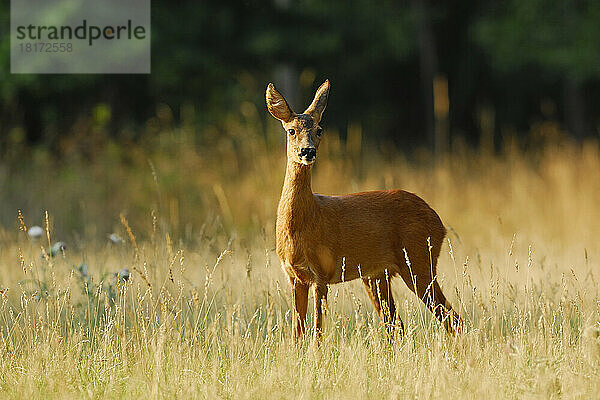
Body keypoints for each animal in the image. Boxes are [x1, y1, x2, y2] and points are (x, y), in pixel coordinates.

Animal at [268, 79, 464, 342]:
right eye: (291, 130)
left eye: (319, 129)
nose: (307, 151)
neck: (303, 224)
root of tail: (439, 221)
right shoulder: (294, 276)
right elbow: (297, 334)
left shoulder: (322, 272)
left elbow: (317, 332)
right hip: (377, 275)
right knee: (397, 325)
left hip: (419, 258)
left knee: (452, 319)